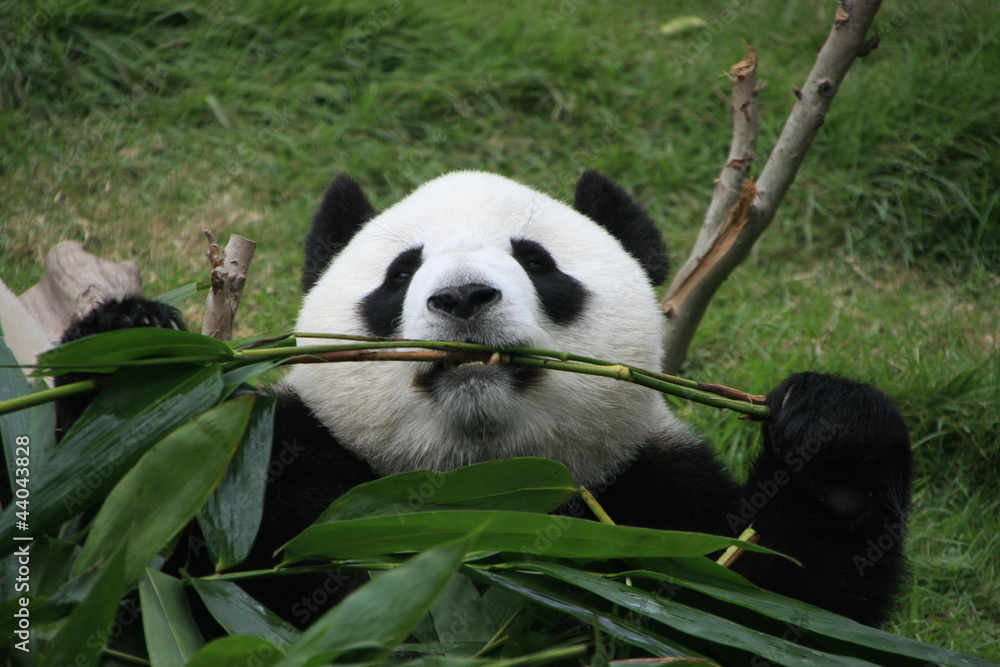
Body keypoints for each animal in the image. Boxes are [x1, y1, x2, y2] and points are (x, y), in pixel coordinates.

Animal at [43, 169, 912, 629]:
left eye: (537, 261)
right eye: (399, 273)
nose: (462, 297)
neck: (480, 483)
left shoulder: (648, 491)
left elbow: (786, 603)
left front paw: (834, 434)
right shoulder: (273, 467)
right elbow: (126, 566)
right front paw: (134, 359)